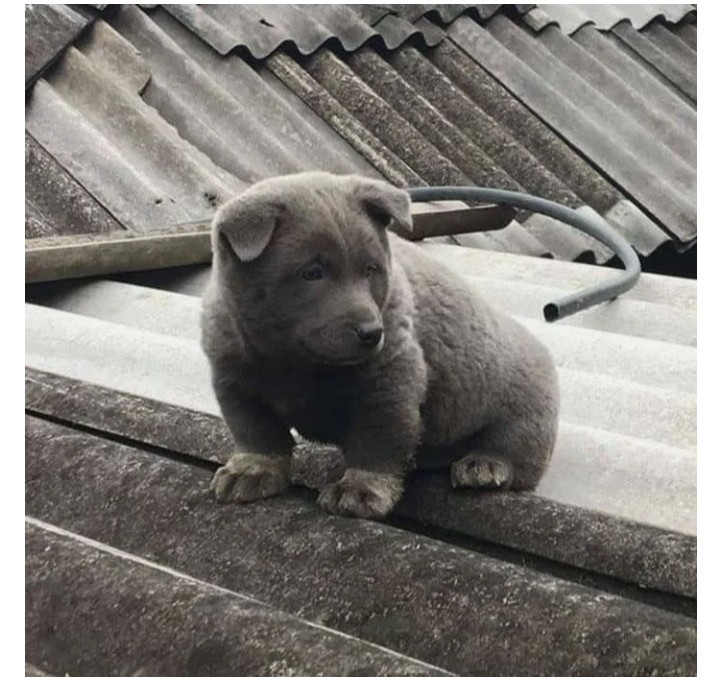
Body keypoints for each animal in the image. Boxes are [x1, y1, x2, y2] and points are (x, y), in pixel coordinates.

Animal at [200, 171, 560, 520]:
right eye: (312, 273)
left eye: (371, 270)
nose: (372, 332)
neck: (293, 360)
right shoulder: (234, 381)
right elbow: (257, 432)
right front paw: (251, 471)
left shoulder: (388, 384)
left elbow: (377, 442)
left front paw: (359, 490)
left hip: (525, 413)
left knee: (515, 451)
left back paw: (483, 466)